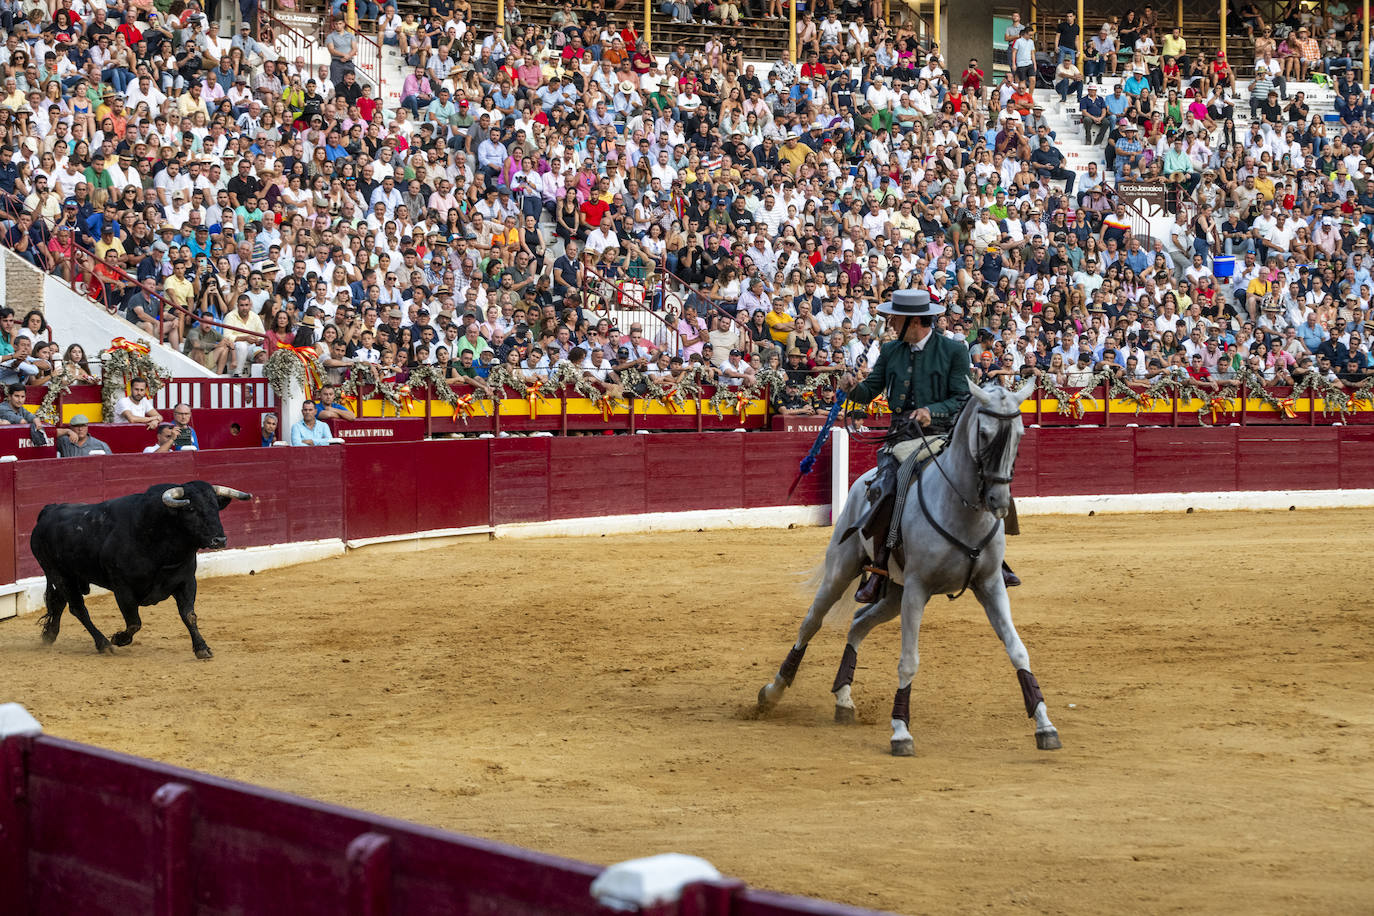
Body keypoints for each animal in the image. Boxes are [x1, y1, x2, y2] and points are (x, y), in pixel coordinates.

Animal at [30, 480, 254, 659]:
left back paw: (49, 635)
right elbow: (134, 622)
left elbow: (189, 615)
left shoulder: (186, 581)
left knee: (59, 602)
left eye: (216, 507)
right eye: (191, 510)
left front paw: (202, 648)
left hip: (72, 576)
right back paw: (104, 644)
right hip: (59, 573)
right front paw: (118, 638)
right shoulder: (123, 589)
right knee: (78, 608)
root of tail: (49, 510)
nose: (220, 540)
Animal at [758, 381, 1055, 758]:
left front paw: (1045, 725)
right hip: (843, 569)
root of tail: (864, 480)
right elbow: (909, 660)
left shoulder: (990, 585)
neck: (962, 508)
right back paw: (773, 690)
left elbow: (1018, 649)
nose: (999, 502)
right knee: (811, 622)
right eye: (984, 434)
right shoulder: (917, 588)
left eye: (1019, 433)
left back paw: (843, 698)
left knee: (857, 624)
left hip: (891, 595)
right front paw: (901, 732)